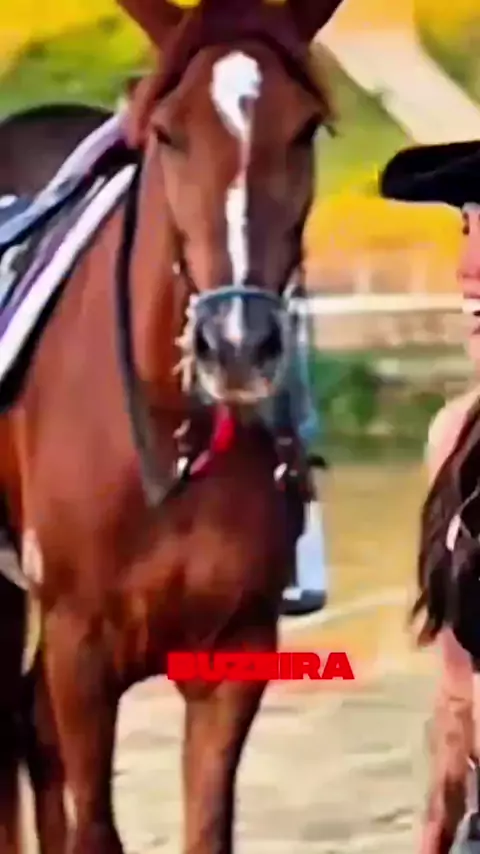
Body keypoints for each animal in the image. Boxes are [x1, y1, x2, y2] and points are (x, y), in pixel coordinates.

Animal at [0, 0, 343, 851]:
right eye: (168, 133)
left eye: (305, 129)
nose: (238, 344)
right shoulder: (81, 648)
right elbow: (95, 824)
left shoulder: (236, 647)